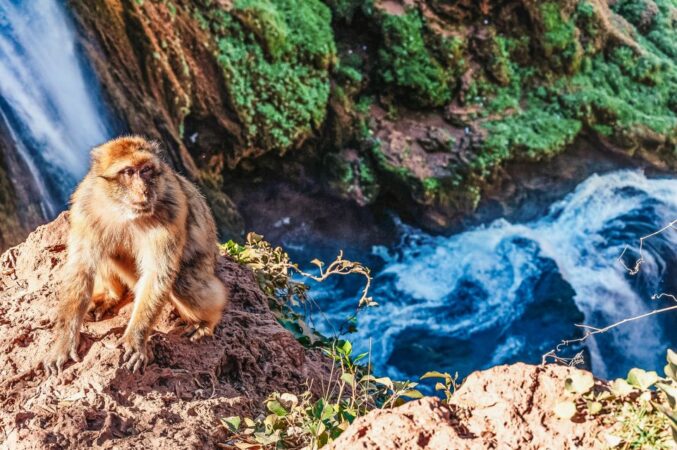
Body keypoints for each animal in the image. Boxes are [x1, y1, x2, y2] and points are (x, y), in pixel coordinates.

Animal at [42, 136, 228, 374]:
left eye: (146, 170)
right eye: (129, 172)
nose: (144, 190)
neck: (121, 210)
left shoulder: (172, 209)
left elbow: (158, 273)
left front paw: (135, 340)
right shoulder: (85, 208)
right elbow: (81, 267)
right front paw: (64, 341)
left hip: (204, 266)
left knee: (183, 282)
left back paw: (207, 321)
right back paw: (113, 295)